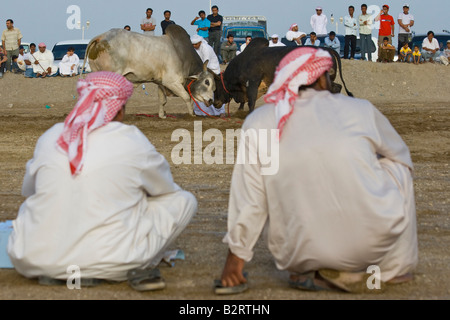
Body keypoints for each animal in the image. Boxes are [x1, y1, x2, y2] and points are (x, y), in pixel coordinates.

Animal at [85, 24, 216, 117]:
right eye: (207, 82)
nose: (211, 100)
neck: (181, 54)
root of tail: (100, 38)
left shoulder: (161, 83)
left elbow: (163, 100)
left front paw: (162, 115)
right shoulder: (171, 82)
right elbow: (187, 97)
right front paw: (192, 114)